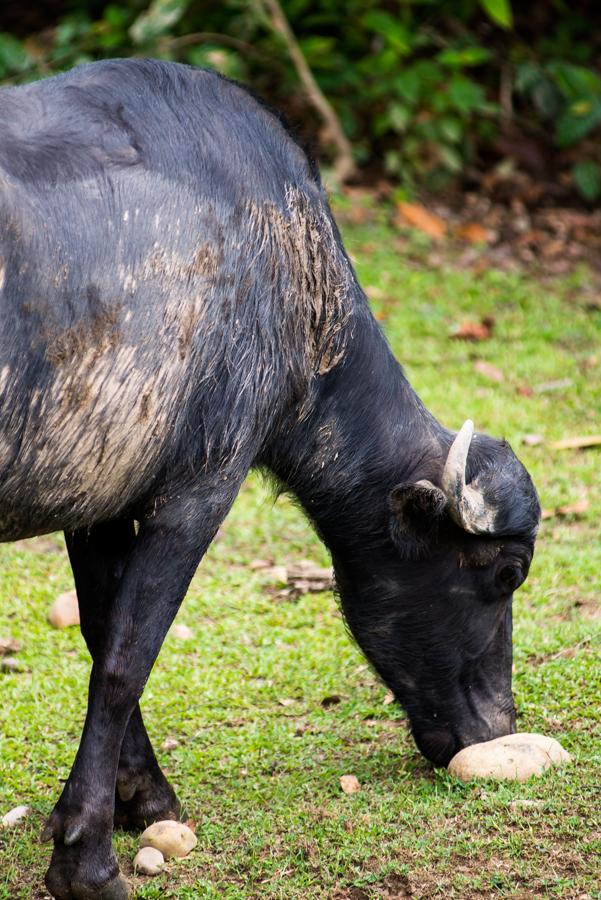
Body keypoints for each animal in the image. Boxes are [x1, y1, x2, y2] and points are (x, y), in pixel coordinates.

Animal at [0, 59, 540, 896]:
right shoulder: (198, 487)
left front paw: (136, 797)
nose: (496, 728)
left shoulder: (94, 502)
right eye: (506, 573)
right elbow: (126, 658)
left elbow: (98, 634)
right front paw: (85, 857)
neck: (289, 271)